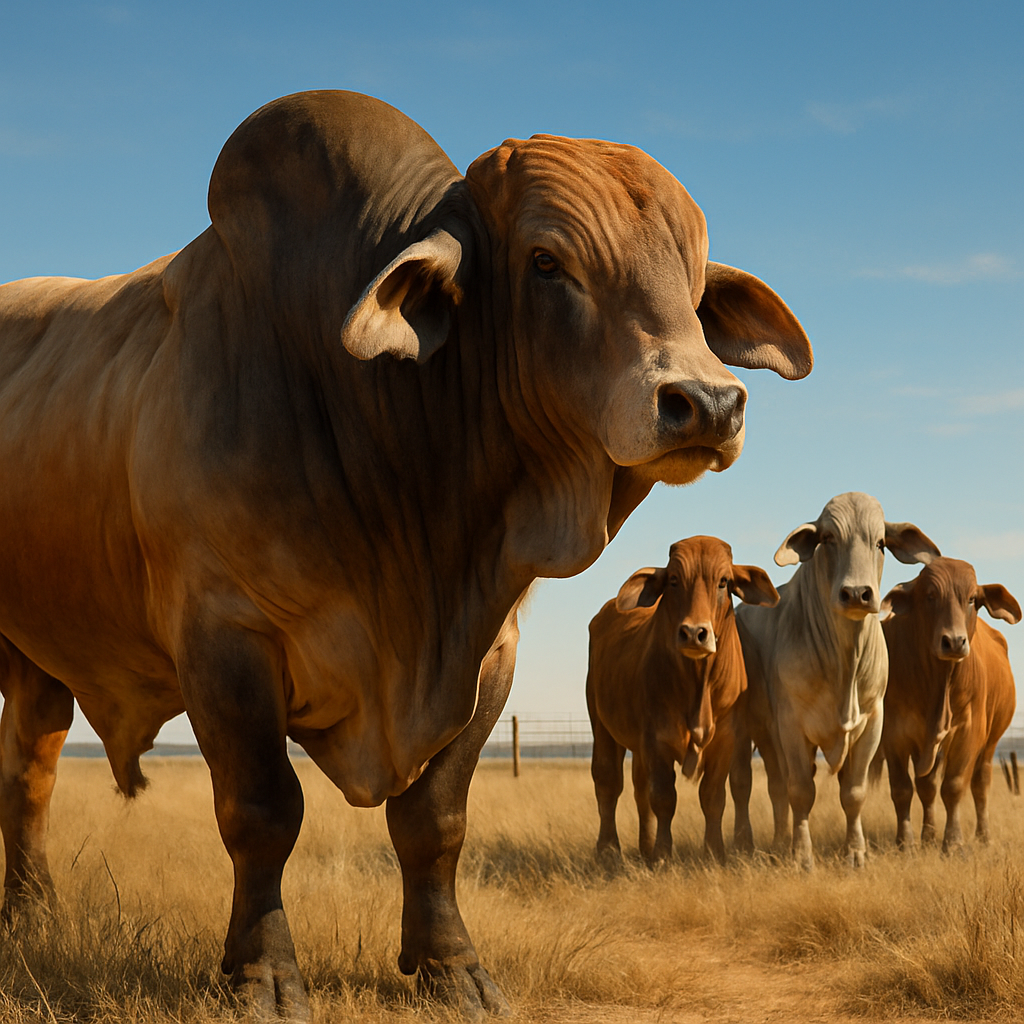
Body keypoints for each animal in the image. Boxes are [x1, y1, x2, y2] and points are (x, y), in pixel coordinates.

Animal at [586, 536, 779, 865]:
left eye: (723, 581)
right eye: (674, 580)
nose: (694, 633)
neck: (698, 684)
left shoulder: (726, 739)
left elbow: (713, 796)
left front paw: (714, 852)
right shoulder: (657, 740)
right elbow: (664, 797)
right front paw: (663, 855)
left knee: (639, 787)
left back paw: (645, 846)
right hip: (601, 726)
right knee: (608, 782)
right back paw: (608, 849)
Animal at [731, 493, 939, 869]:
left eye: (881, 542)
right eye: (828, 538)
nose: (857, 593)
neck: (845, 664)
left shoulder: (872, 722)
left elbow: (853, 792)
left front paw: (855, 852)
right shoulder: (791, 725)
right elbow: (801, 790)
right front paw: (802, 855)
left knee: (777, 785)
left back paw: (780, 841)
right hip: (751, 730)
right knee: (757, 784)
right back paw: (757, 844)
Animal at [878, 557, 1019, 852]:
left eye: (972, 599)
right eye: (930, 596)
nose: (954, 641)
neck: (937, 684)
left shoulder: (969, 732)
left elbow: (953, 787)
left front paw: (953, 842)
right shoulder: (894, 735)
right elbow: (903, 788)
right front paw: (906, 842)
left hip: (990, 743)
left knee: (980, 784)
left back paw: (983, 836)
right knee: (927, 786)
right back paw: (928, 835)